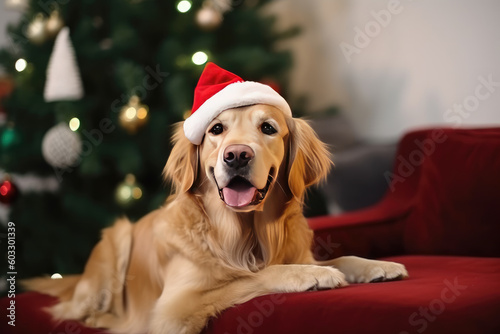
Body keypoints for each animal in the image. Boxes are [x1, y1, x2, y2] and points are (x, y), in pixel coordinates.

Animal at [24, 65, 406, 334]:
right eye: (216, 130)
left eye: (268, 128)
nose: (236, 155)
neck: (244, 232)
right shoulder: (173, 307)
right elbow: (249, 276)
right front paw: (311, 275)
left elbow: (340, 258)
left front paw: (377, 266)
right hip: (115, 240)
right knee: (80, 311)